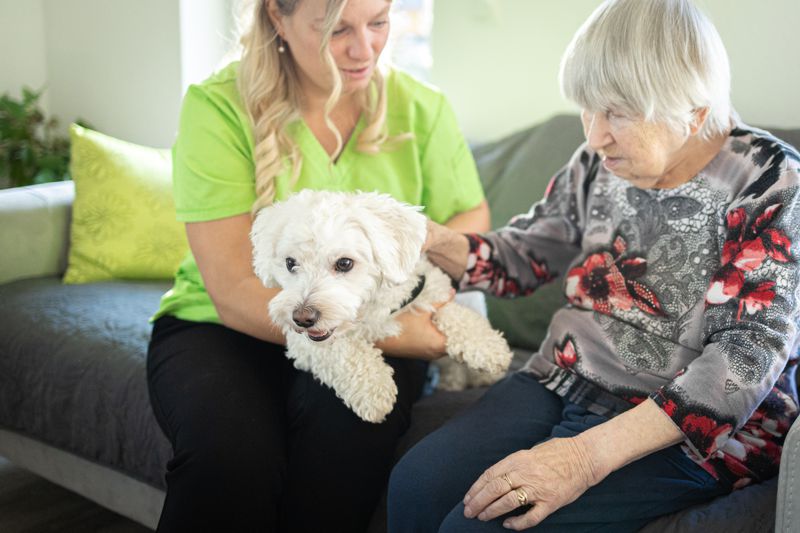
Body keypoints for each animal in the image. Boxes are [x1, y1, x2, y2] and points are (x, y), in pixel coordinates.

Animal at [252, 189, 512, 422]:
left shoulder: (432, 290)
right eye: (290, 263)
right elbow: (342, 351)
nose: (303, 318)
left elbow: (453, 314)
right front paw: (373, 389)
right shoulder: (302, 341)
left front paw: (486, 346)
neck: (370, 309)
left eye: (344, 263)